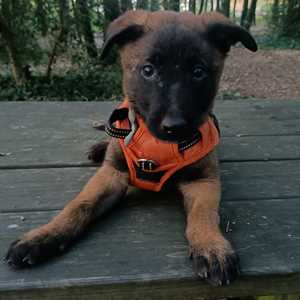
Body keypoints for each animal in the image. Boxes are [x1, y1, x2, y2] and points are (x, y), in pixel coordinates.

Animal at [5, 9, 258, 286]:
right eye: (148, 70)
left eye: (198, 72)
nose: (175, 126)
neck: (157, 144)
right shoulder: (111, 174)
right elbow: (79, 204)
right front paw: (44, 235)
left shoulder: (203, 180)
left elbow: (204, 213)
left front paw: (212, 246)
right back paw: (100, 147)